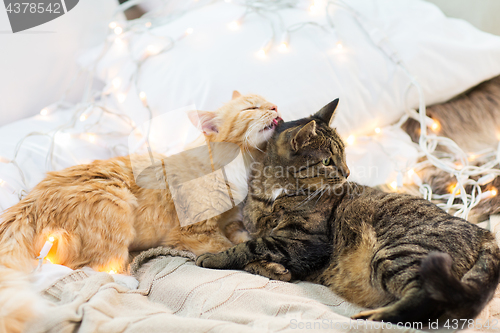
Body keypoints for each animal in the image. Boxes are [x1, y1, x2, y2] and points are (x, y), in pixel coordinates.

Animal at [0, 91, 282, 332]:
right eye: (251, 108)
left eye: (268, 102)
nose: (275, 107)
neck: (239, 164)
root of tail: (28, 201)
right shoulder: (196, 233)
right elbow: (236, 252)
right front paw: (274, 266)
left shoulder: (231, 224)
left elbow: (250, 242)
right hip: (116, 204)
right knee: (90, 267)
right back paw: (127, 281)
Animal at [197, 98, 500, 322]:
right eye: (328, 160)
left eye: (343, 154)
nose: (347, 172)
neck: (275, 193)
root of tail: (485, 235)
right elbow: (254, 248)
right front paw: (273, 269)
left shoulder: (305, 241)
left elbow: (249, 247)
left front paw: (212, 258)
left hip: (400, 253)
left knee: (428, 301)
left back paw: (373, 317)